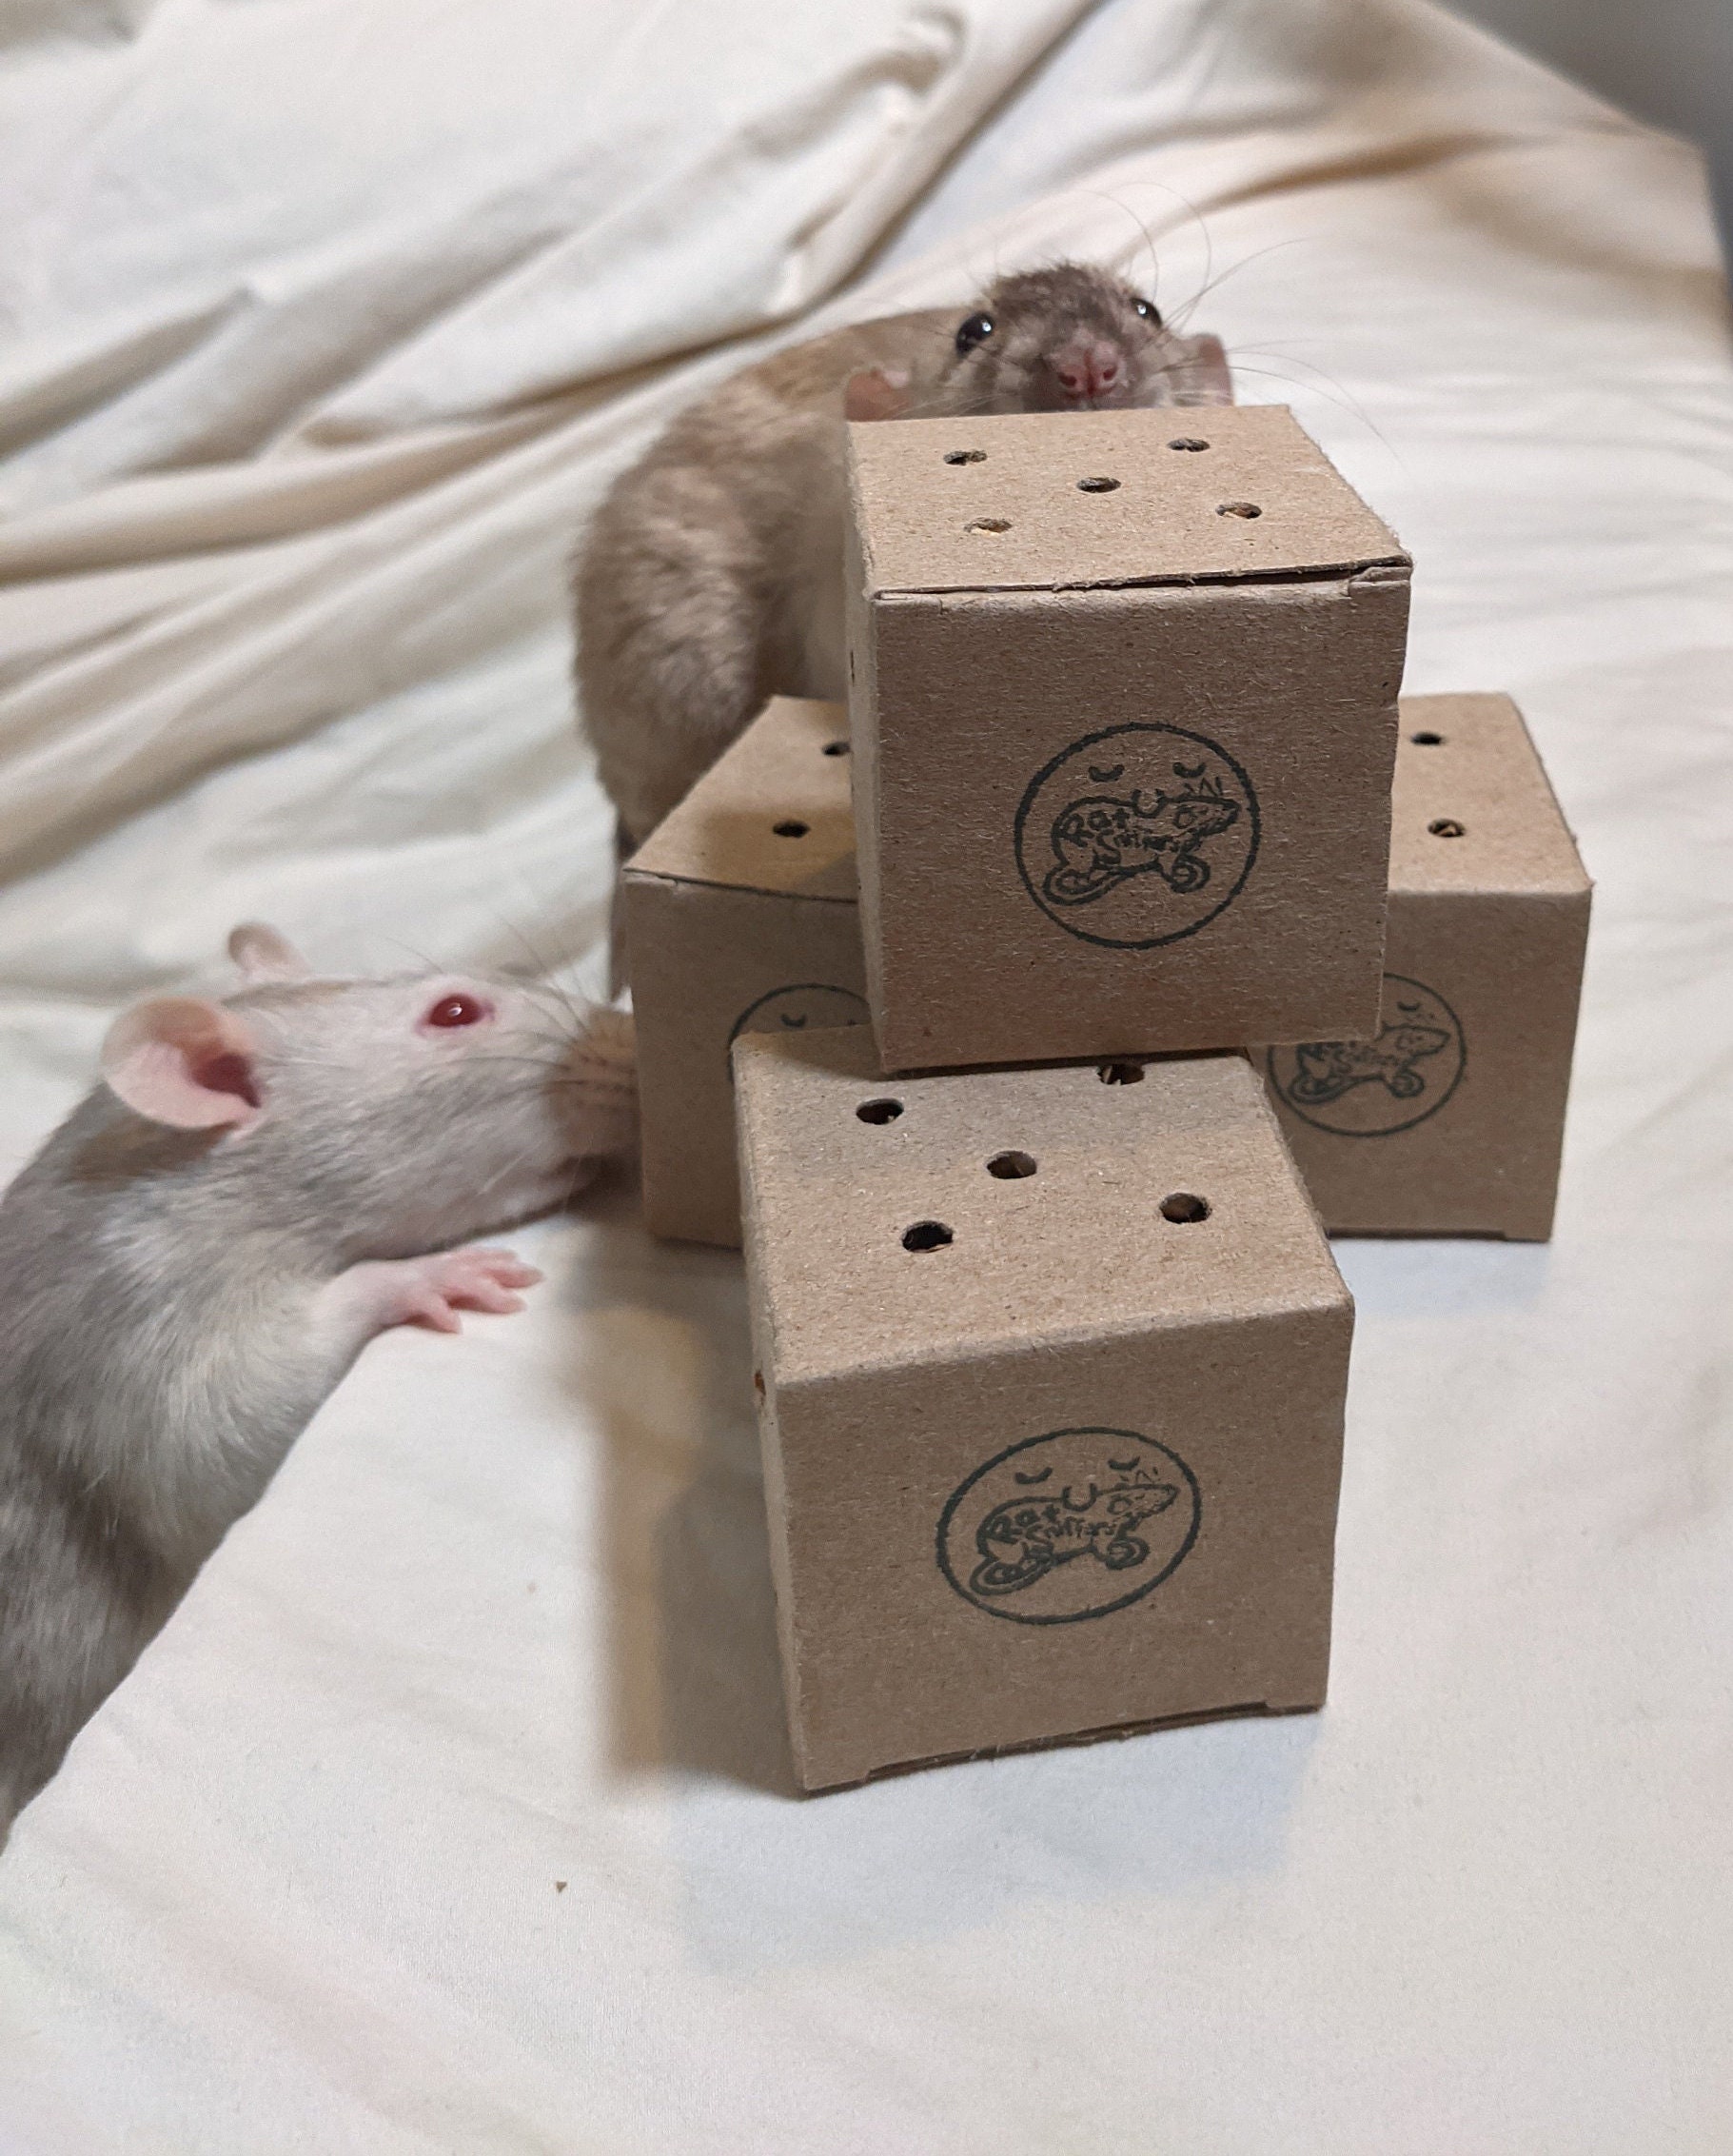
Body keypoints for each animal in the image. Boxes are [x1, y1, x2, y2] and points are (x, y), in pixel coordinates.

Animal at [0, 923, 636, 1828]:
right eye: (454, 1011)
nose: (634, 1038)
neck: (165, 1150)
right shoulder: (123, 1322)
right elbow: (216, 1441)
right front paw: (415, 1276)